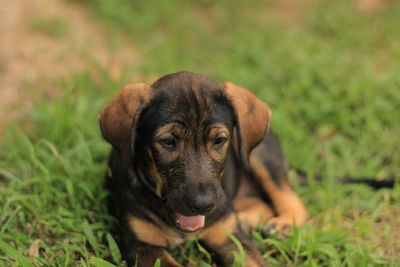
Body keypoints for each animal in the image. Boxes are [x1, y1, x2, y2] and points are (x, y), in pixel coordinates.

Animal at [98, 72, 308, 266]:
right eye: (168, 141)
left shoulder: (230, 239)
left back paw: (283, 224)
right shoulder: (141, 246)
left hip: (261, 154)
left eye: (219, 140)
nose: (203, 205)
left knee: (287, 195)